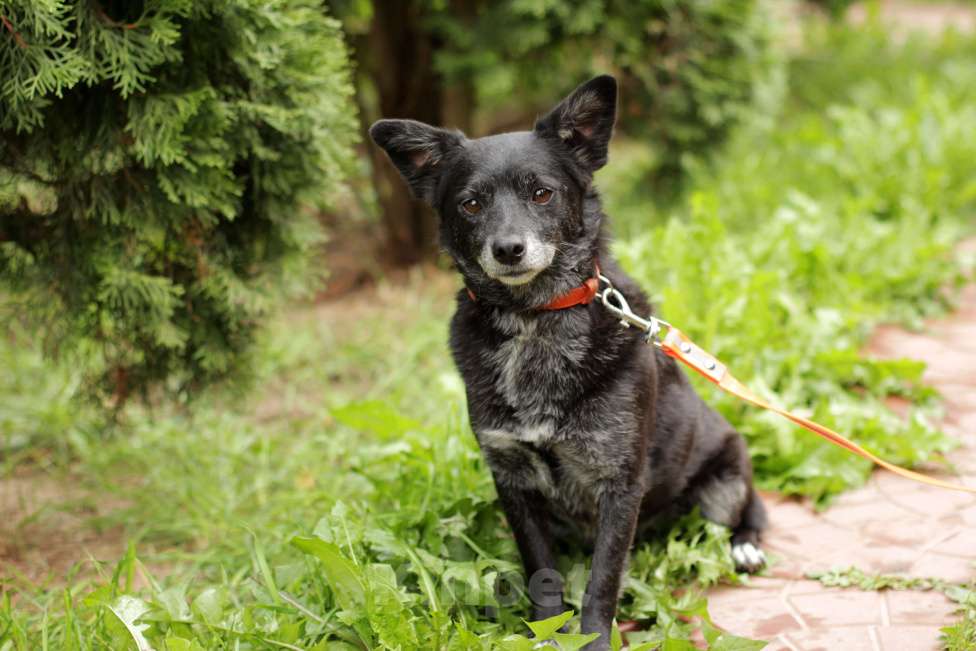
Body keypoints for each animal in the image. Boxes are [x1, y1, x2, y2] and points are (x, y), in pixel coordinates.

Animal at [370, 75, 768, 648]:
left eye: (542, 192)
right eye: (470, 204)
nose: (508, 249)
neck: (535, 322)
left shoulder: (619, 483)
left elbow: (603, 579)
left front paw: (594, 638)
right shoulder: (513, 481)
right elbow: (541, 569)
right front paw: (547, 629)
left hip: (725, 484)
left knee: (753, 509)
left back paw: (746, 545)